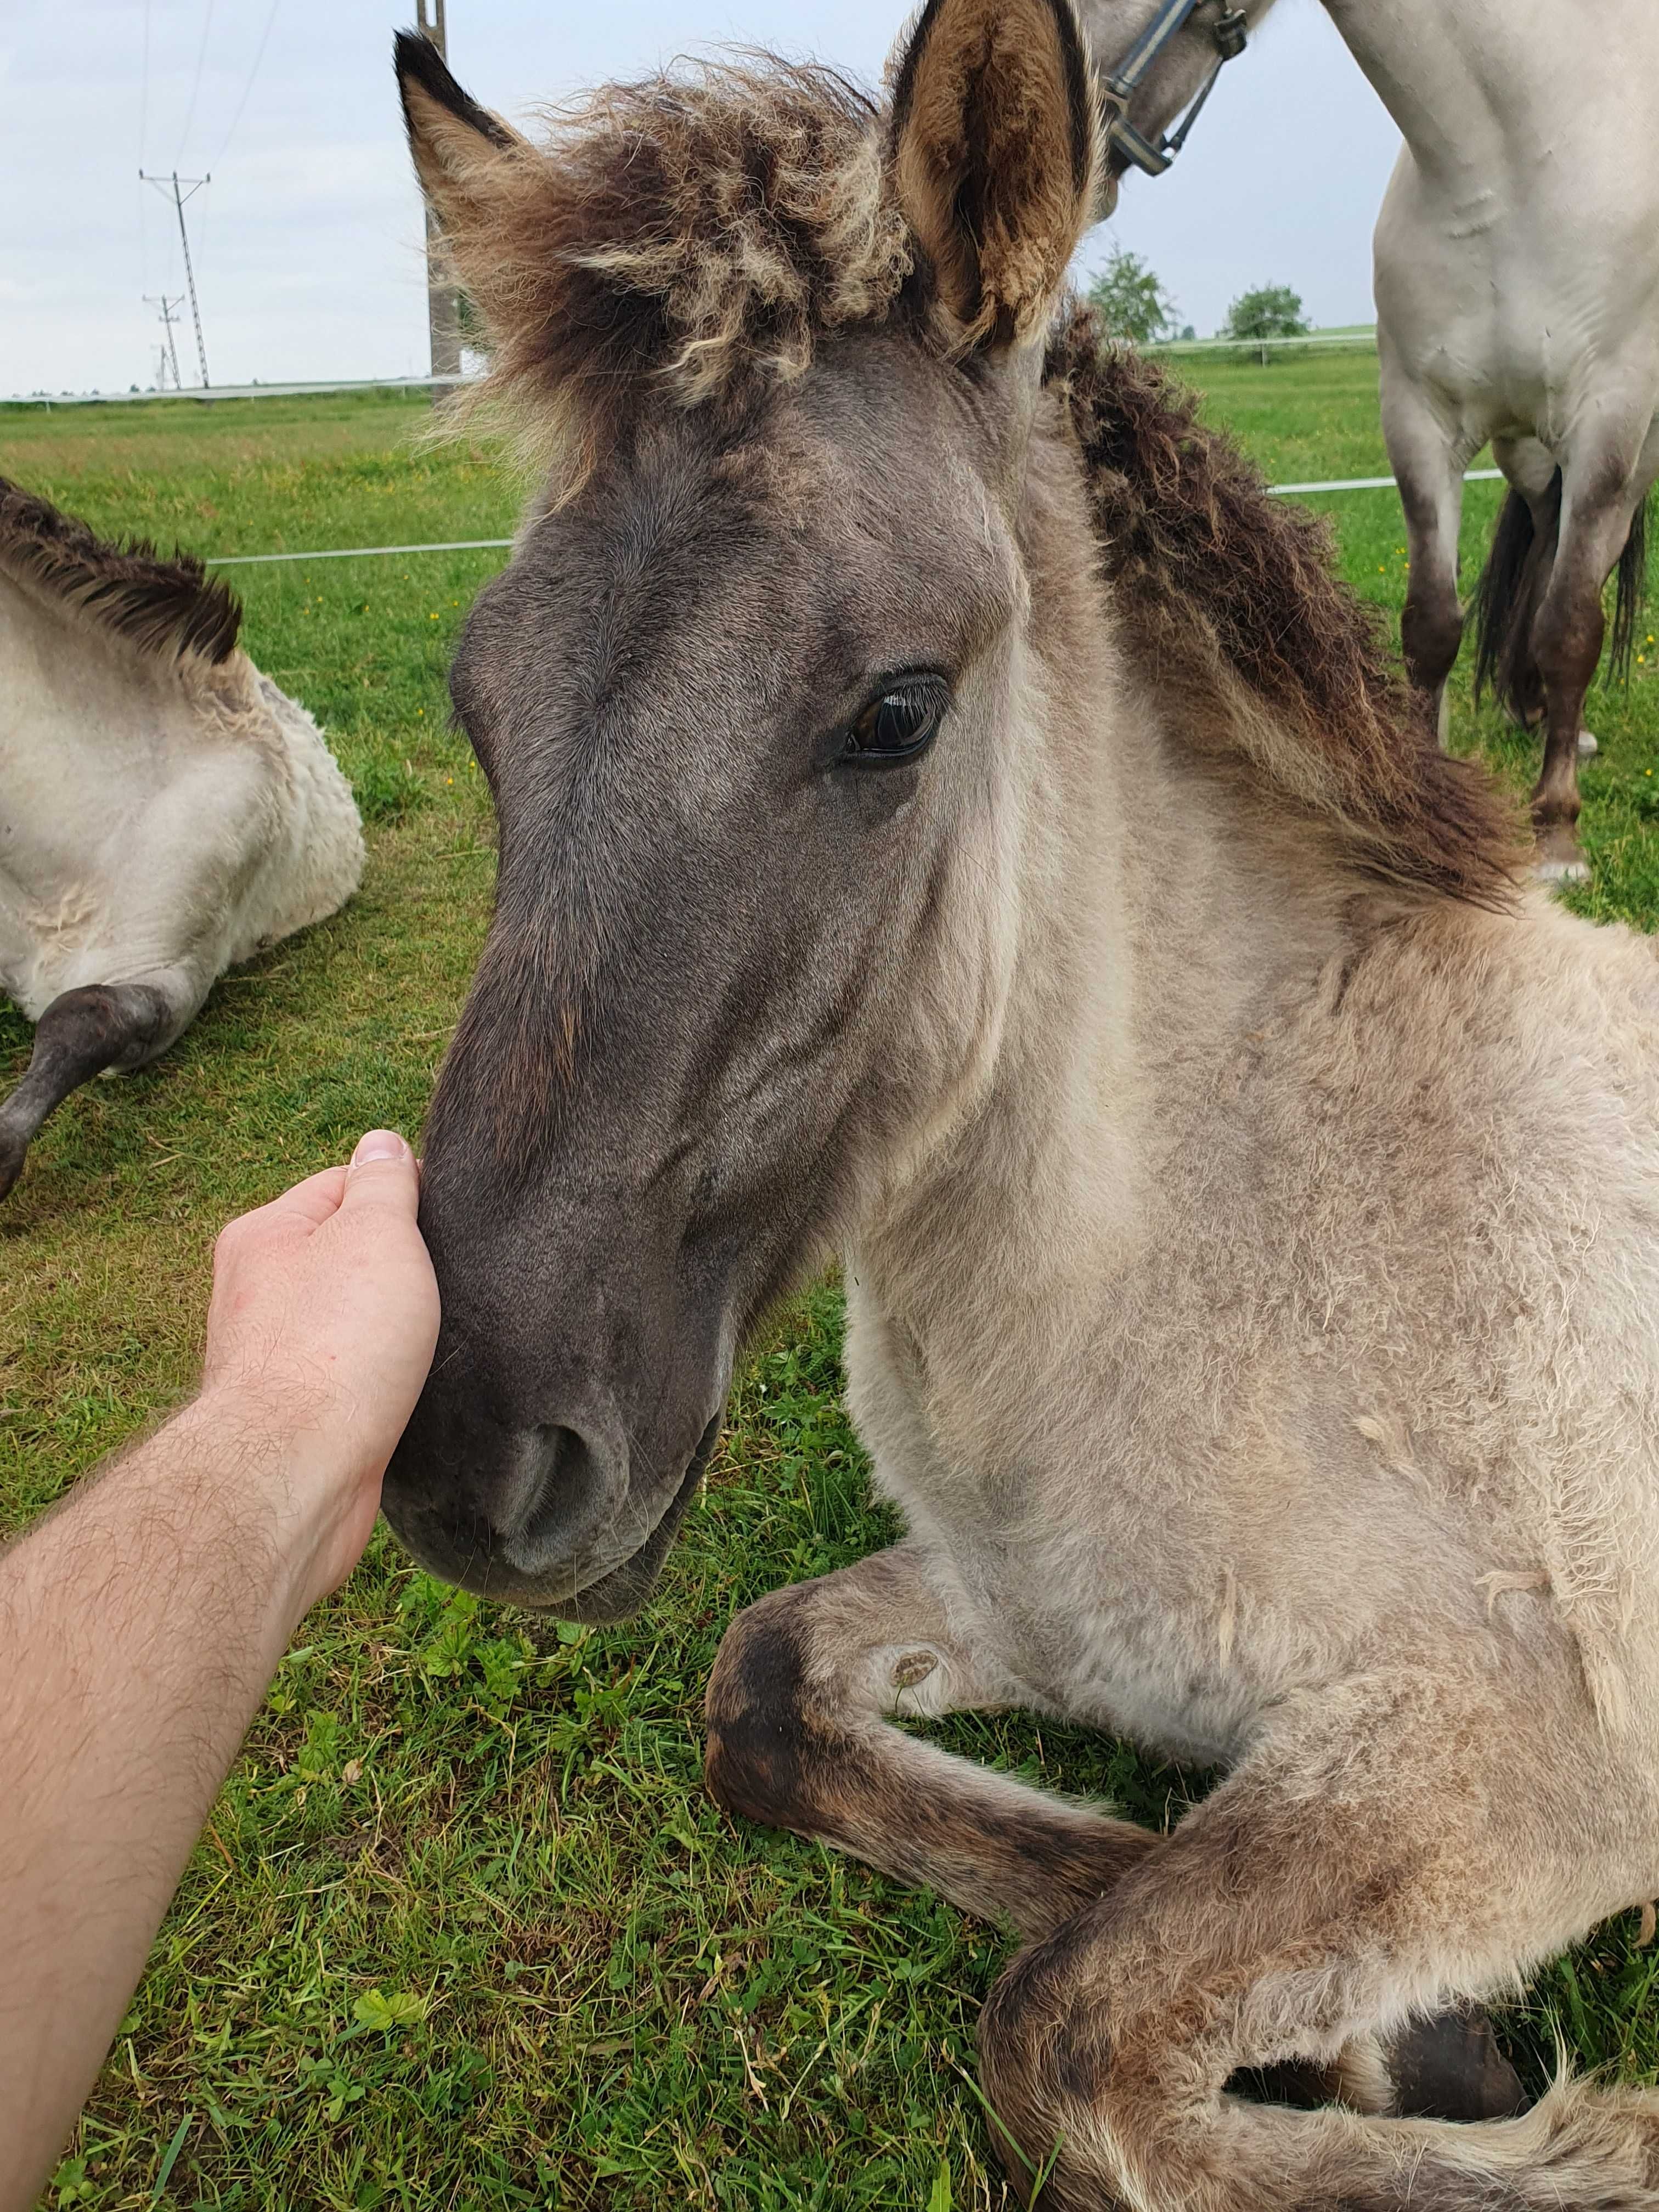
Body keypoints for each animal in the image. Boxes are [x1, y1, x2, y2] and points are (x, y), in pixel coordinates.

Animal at [1079, 0, 1659, 880]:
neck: (1509, 172)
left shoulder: (1609, 429)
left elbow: (1571, 629)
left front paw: (1556, 833)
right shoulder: (1422, 423)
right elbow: (1433, 626)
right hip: (1528, 451)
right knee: (1543, 538)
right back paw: (1533, 708)